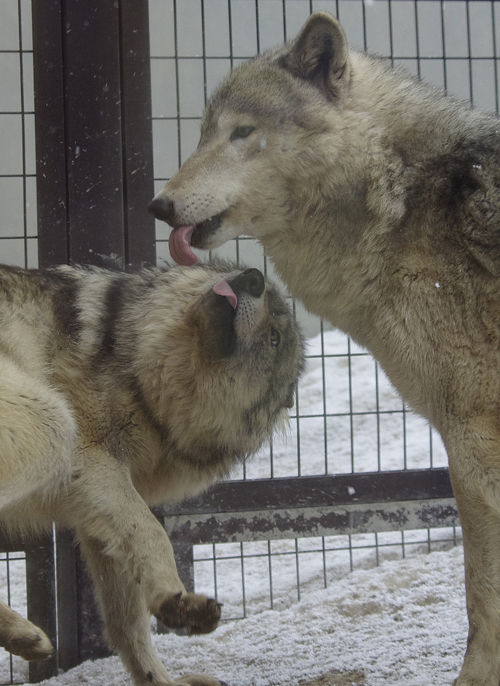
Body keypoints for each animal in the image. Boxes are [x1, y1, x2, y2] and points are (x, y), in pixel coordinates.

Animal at [0, 260, 304, 684]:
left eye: (274, 339)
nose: (253, 276)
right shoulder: (90, 459)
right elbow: (154, 534)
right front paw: (180, 602)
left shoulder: (95, 513)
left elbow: (129, 622)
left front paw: (162, 671)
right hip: (49, 423)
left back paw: (22, 636)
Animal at [148, 10, 500, 686]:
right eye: (203, 134)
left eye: (242, 132)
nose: (159, 204)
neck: (399, 203)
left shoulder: (472, 436)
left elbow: (481, 589)